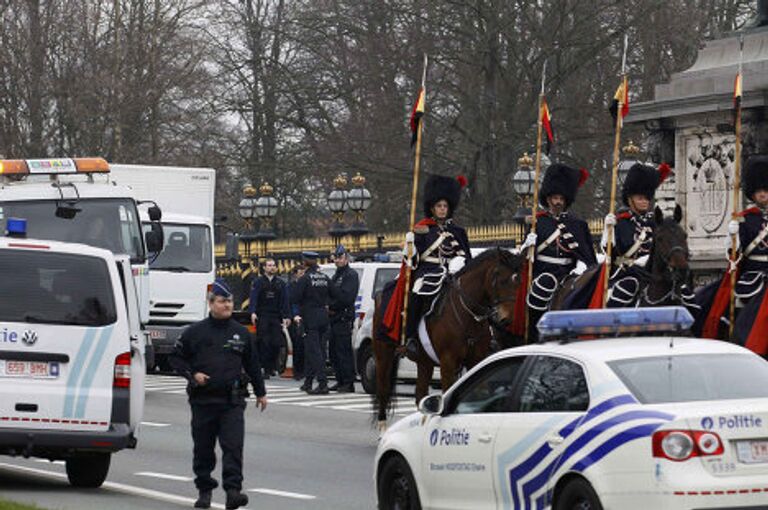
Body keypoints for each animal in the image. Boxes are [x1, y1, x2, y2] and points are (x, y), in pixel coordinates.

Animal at [368, 245, 524, 428]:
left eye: (520, 281)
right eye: (502, 280)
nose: (508, 320)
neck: (466, 313)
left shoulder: (476, 360)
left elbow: (479, 392)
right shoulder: (448, 363)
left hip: (424, 362)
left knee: (420, 394)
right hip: (383, 354)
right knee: (383, 390)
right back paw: (383, 428)